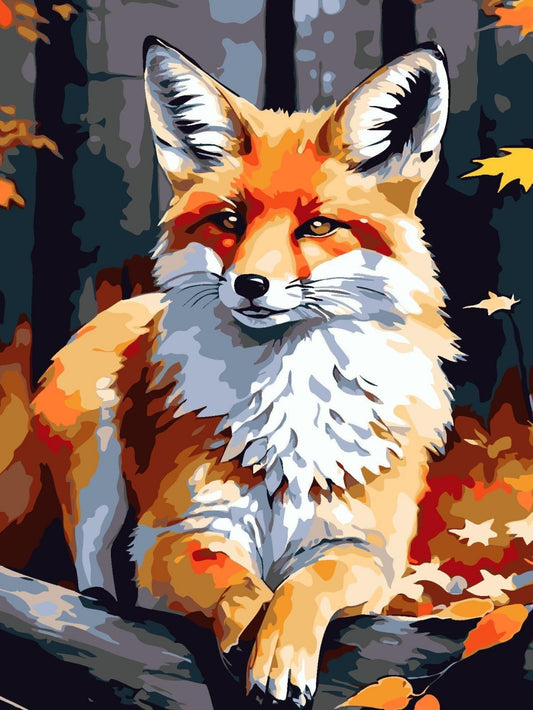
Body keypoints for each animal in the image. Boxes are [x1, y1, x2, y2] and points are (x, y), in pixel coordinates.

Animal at [0, 38, 458, 705]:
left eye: (318, 226)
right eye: (230, 221)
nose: (250, 284)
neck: (290, 410)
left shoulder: (366, 551)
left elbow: (308, 582)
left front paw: (280, 653)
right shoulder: (175, 534)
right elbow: (236, 582)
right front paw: (246, 633)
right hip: (95, 473)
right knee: (92, 579)